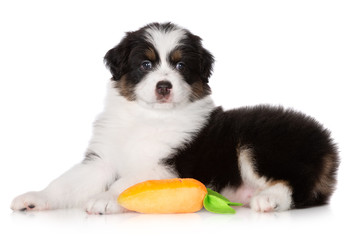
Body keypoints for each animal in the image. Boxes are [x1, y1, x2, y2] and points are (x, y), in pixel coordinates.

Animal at [9, 22, 338, 214]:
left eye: (180, 66)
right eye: (145, 64)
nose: (164, 86)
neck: (146, 117)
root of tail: (327, 142)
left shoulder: (167, 164)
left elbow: (126, 183)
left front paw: (105, 200)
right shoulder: (101, 159)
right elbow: (65, 183)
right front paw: (34, 197)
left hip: (261, 145)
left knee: (298, 186)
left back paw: (269, 200)